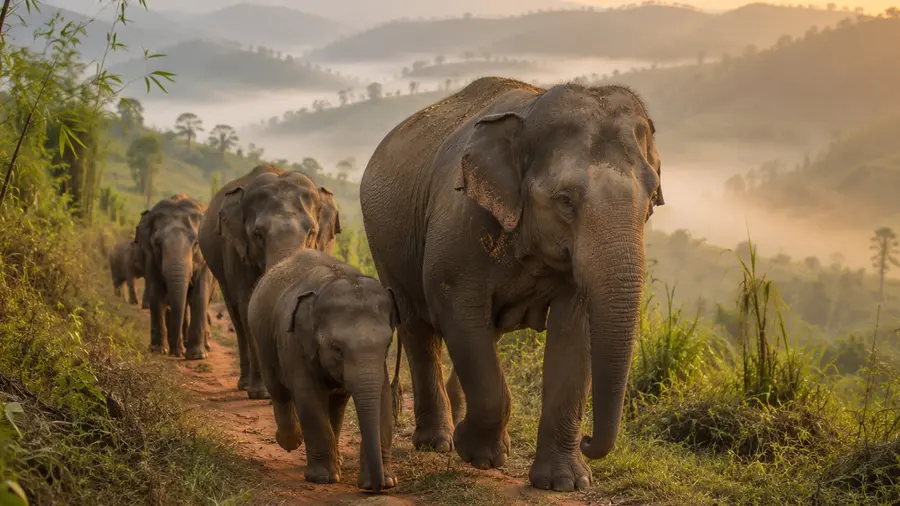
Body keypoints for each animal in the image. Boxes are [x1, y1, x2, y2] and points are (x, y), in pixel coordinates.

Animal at [136, 194, 215, 359]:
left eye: (196, 243)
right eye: (158, 244)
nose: (177, 353)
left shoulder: (205, 264)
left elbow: (200, 295)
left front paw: (197, 356)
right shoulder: (150, 258)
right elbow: (156, 293)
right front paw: (159, 350)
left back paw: (201, 347)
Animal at [198, 164, 342, 399]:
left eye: (311, 232)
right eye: (258, 234)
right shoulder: (235, 250)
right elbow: (247, 305)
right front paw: (261, 393)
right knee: (236, 317)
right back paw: (244, 384)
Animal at [247, 248, 398, 491]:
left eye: (388, 344)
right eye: (336, 348)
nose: (374, 486)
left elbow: (383, 396)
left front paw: (388, 482)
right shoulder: (295, 343)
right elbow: (307, 396)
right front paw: (322, 478)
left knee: (336, 404)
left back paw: (337, 458)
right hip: (262, 338)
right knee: (278, 390)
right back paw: (290, 441)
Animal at [359, 77, 664, 491]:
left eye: (651, 200)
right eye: (565, 200)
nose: (588, 440)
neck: (531, 112)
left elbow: (575, 332)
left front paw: (565, 482)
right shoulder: (459, 224)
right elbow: (457, 311)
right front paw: (477, 454)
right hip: (385, 244)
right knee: (418, 330)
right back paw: (438, 442)